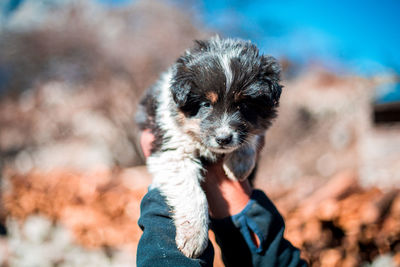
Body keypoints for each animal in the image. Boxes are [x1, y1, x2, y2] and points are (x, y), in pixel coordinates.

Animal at [136, 36, 282, 258]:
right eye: (206, 104)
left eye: (243, 105)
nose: (224, 138)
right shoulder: (173, 148)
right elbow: (194, 194)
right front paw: (194, 238)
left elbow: (253, 133)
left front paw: (238, 165)